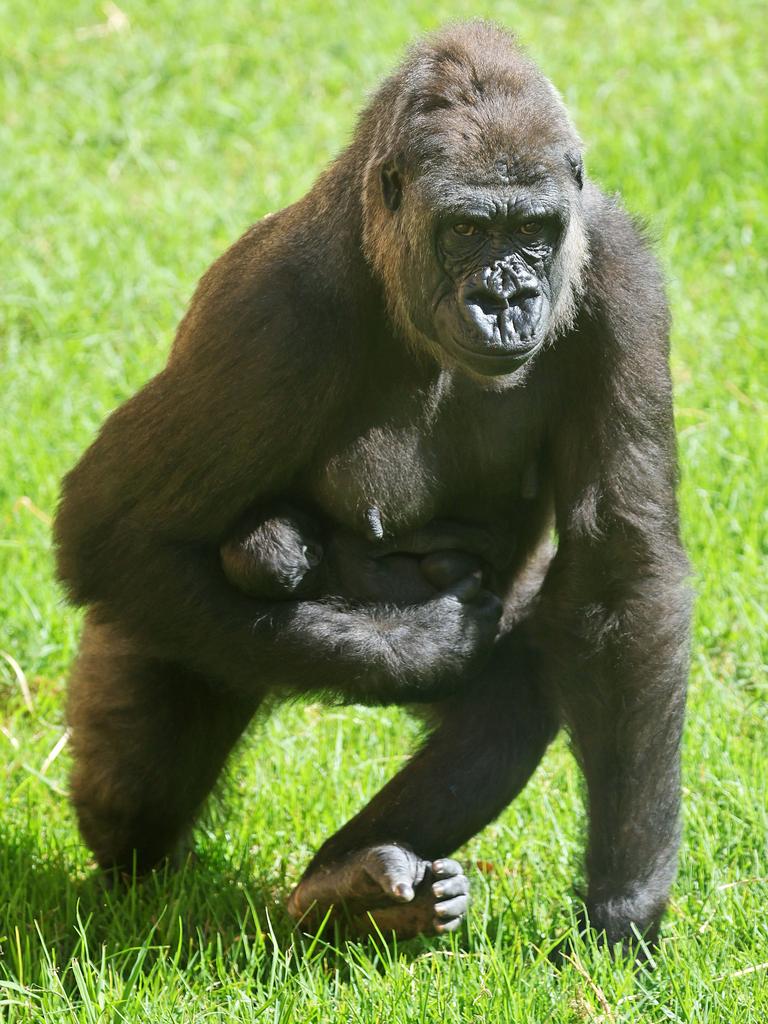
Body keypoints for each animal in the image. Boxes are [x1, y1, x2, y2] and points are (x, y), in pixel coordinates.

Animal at [54, 19, 692, 946]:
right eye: (467, 231)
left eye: (534, 229)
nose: (508, 300)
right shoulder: (268, 313)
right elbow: (112, 530)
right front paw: (416, 645)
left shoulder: (622, 275)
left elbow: (623, 572)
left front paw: (625, 905)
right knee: (133, 784)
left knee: (512, 700)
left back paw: (348, 890)